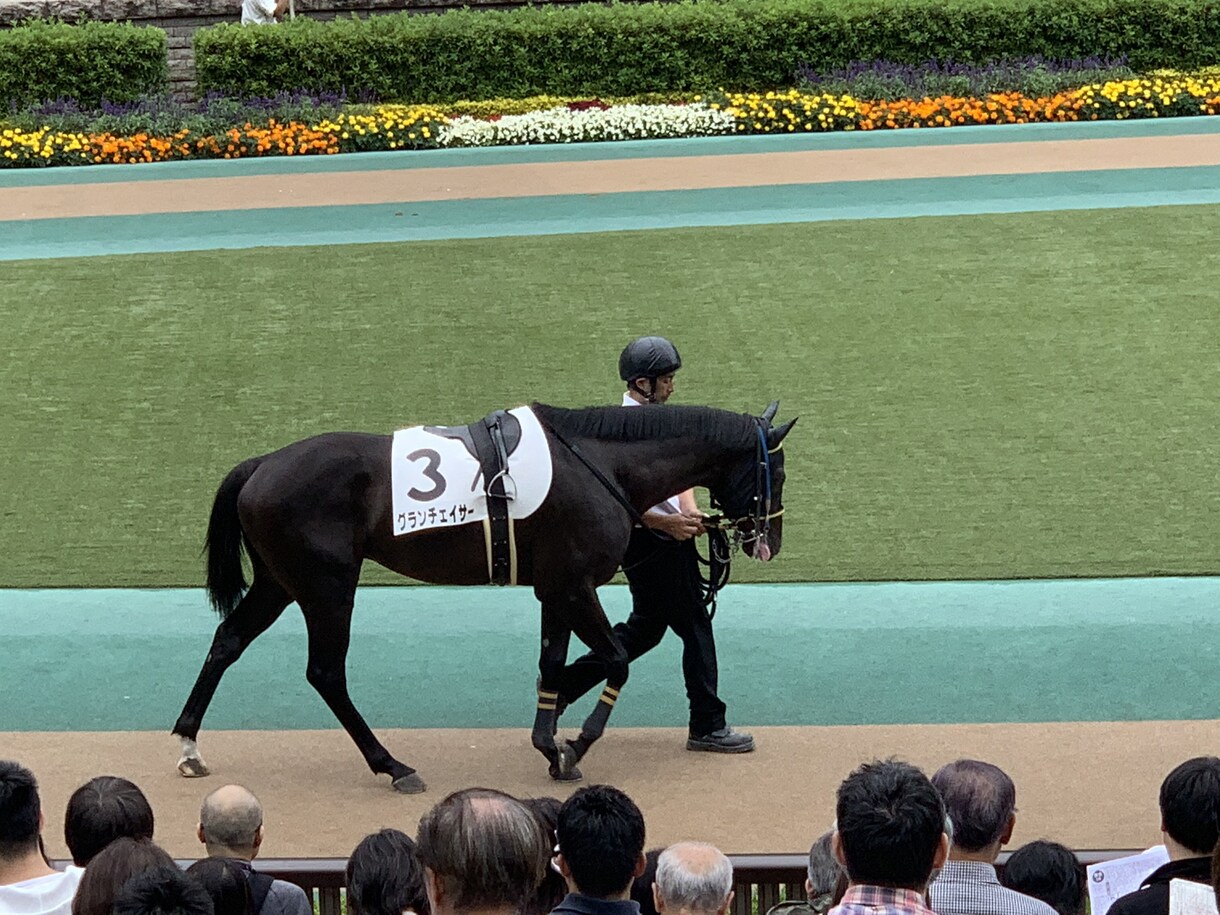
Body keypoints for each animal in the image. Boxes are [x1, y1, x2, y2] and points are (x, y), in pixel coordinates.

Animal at [172, 400, 795, 793]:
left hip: (280, 582)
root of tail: (261, 465)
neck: (602, 462)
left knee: (228, 640)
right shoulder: (575, 585)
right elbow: (616, 659)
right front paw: (576, 746)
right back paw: (393, 766)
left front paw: (550, 746)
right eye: (779, 471)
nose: (771, 541)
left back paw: (188, 746)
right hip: (327, 587)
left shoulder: (555, 588)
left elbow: (553, 664)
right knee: (325, 672)